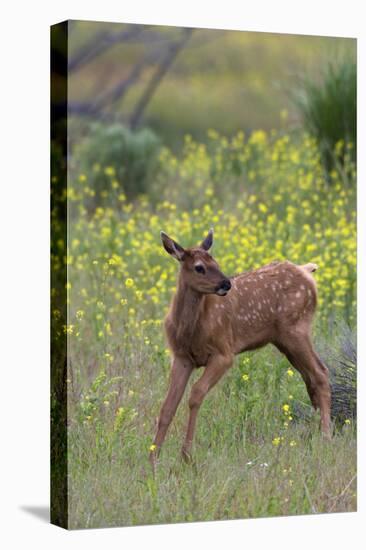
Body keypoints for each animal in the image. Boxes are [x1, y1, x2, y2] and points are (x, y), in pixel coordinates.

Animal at [149, 229, 332, 466]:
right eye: (199, 267)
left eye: (215, 261)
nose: (226, 283)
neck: (190, 330)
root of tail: (306, 270)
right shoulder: (182, 357)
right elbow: (168, 406)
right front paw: (152, 458)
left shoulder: (223, 352)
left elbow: (196, 394)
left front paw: (186, 456)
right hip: (285, 340)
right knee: (310, 378)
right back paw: (315, 432)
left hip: (296, 331)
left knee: (320, 373)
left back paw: (326, 438)